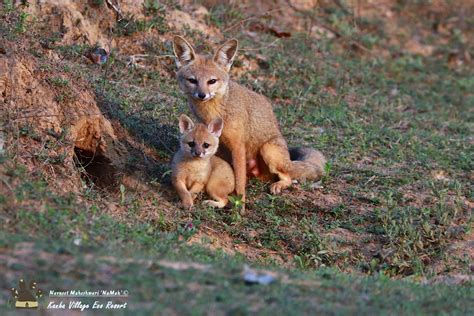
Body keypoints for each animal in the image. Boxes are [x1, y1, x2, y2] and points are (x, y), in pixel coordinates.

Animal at [173, 36, 326, 200]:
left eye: (212, 81)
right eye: (192, 81)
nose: (202, 95)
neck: (214, 112)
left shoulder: (238, 146)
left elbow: (240, 184)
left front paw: (239, 205)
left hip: (268, 150)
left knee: (288, 177)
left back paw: (278, 185)